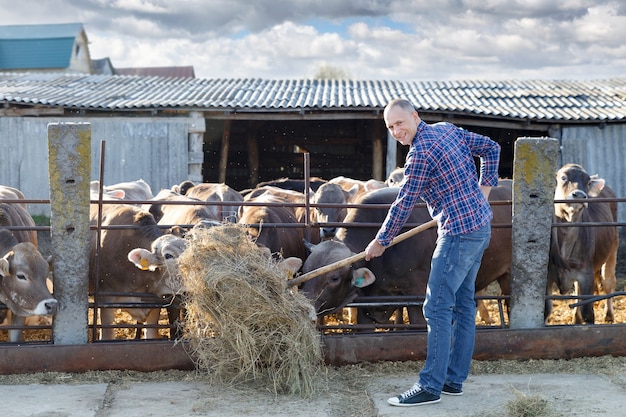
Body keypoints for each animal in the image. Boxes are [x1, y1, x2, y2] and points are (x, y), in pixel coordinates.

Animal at [544, 162, 616, 322]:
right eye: (563, 178)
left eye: (587, 182)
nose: (580, 195)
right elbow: (546, 310)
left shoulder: (586, 274)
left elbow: (587, 312)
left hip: (613, 249)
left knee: (608, 282)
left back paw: (608, 315)